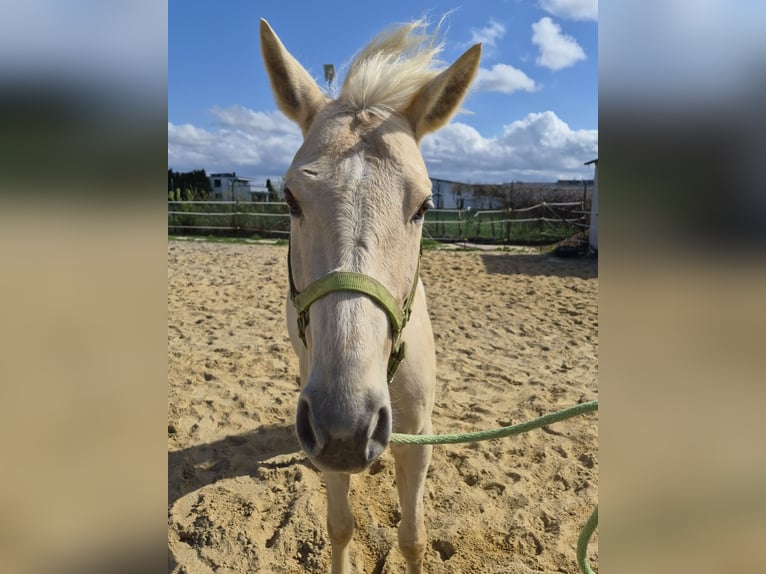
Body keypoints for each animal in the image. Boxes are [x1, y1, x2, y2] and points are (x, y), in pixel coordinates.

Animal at [259, 18, 481, 573]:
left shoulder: (419, 438)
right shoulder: (323, 436)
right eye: (290, 198)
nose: (348, 423)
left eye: (425, 205)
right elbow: (340, 526)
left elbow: (413, 537)